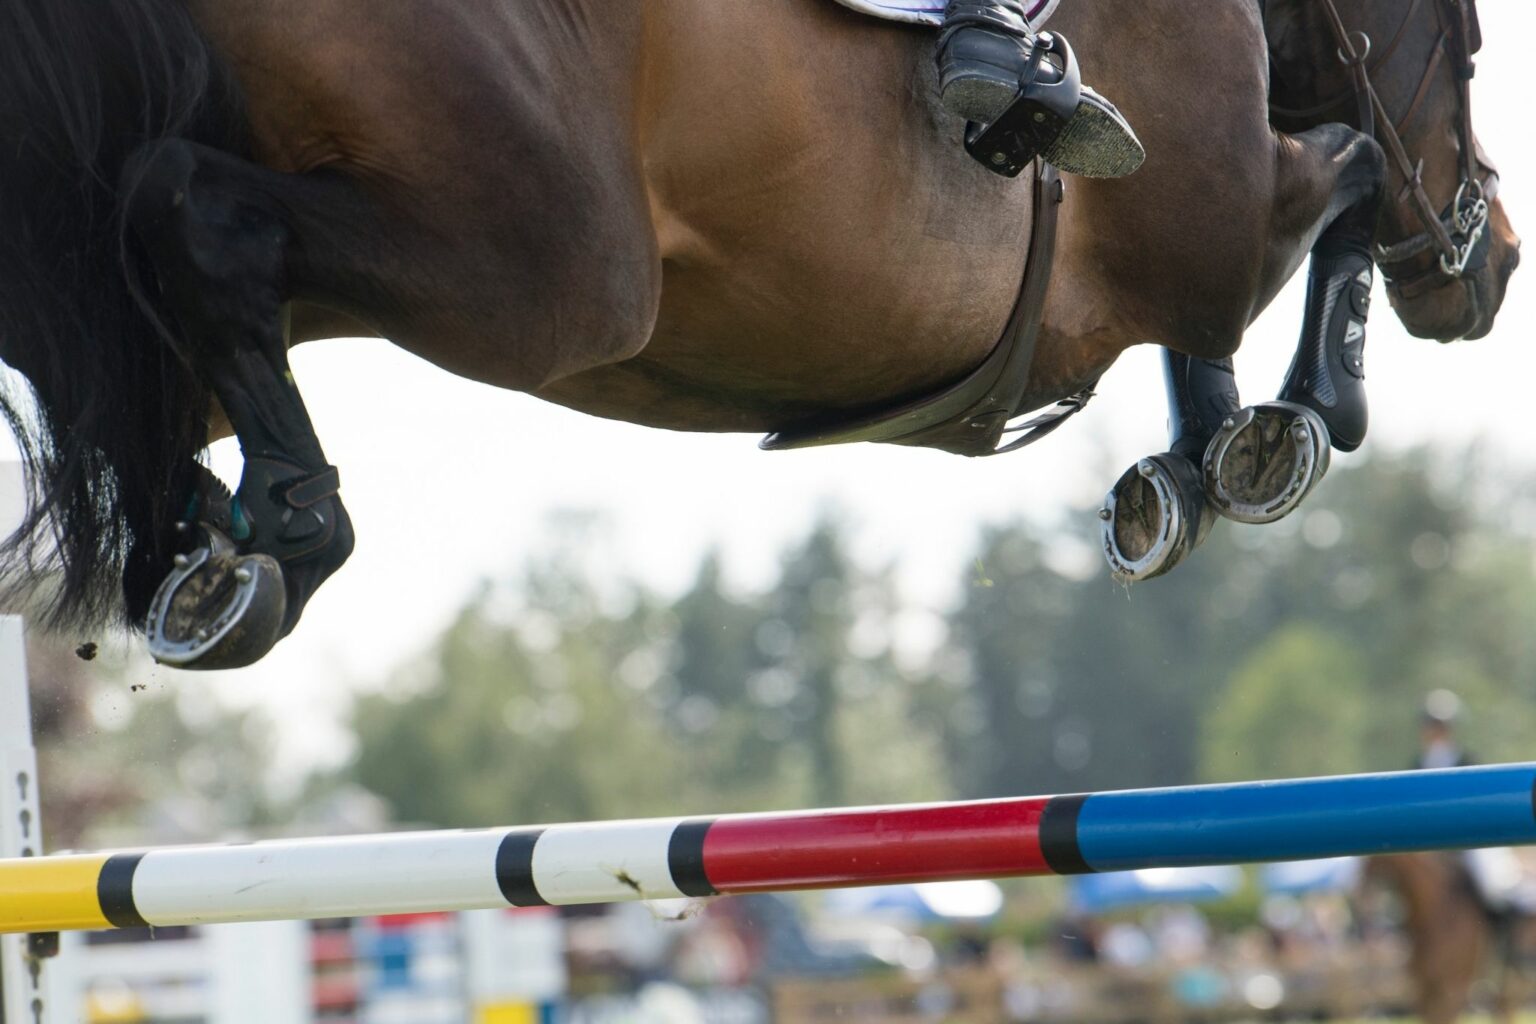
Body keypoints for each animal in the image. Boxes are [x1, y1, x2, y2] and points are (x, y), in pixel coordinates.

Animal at [0, 0, 1518, 669]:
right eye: (1471, 42)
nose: (1490, 267)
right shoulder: (1215, 219)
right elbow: (1351, 183)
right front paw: (1292, 426)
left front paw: (1196, 465)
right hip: (549, 266)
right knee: (200, 216)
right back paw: (279, 535)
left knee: (161, 249)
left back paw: (200, 532)